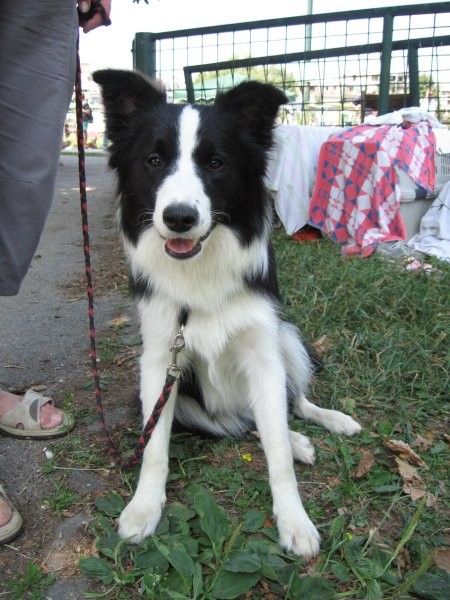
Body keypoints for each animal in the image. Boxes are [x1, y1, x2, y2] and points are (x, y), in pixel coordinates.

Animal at [92, 71, 362, 556]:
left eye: (216, 163)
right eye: (154, 160)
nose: (179, 218)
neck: (200, 268)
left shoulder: (263, 351)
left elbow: (276, 450)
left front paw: (295, 519)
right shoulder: (159, 360)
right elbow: (154, 448)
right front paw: (143, 509)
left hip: (287, 337)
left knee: (290, 402)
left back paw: (326, 423)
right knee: (242, 422)